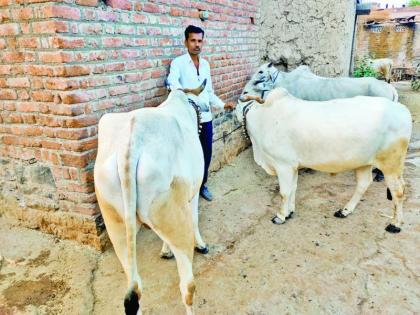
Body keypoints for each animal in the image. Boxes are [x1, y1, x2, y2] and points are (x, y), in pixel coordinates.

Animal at [93, 81, 208, 315]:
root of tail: (131, 141)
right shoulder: (192, 194)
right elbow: (195, 219)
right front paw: (200, 245)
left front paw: (165, 251)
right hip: (177, 221)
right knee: (187, 286)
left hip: (116, 225)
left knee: (135, 288)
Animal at [238, 87, 412, 233]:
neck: (264, 118)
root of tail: (402, 109)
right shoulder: (293, 166)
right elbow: (293, 188)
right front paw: (289, 212)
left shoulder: (283, 166)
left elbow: (284, 192)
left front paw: (280, 216)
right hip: (364, 162)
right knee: (364, 184)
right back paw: (344, 211)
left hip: (391, 164)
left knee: (398, 191)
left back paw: (395, 224)